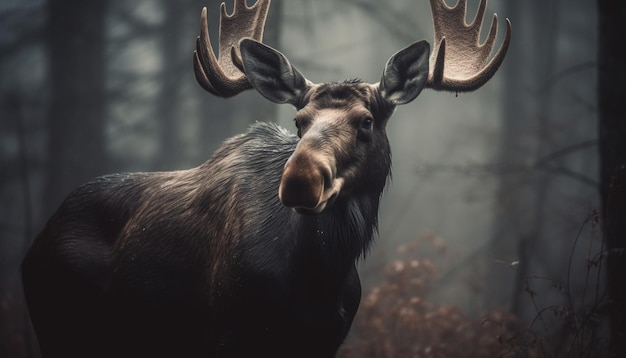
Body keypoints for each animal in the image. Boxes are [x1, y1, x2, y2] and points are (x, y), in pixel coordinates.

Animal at [22, 0, 510, 356]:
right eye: (298, 121)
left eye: (367, 121)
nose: (300, 180)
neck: (317, 278)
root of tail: (38, 239)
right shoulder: (228, 333)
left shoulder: (326, 340)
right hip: (60, 326)